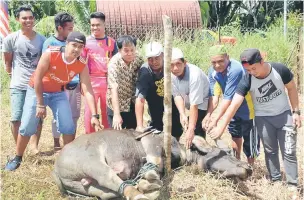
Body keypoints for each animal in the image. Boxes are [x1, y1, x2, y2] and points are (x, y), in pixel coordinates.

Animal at [53, 129, 253, 199]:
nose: (248, 168)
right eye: (225, 153)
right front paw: (149, 177)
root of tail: (55, 167)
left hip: (86, 187)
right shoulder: (151, 141)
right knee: (108, 177)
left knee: (108, 192)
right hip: (93, 162)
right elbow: (155, 161)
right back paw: (141, 192)